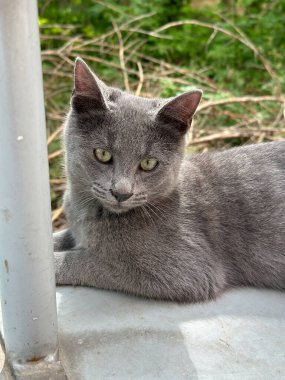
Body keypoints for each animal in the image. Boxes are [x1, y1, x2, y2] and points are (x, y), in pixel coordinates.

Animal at [53, 58, 284, 302]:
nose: (121, 193)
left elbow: (86, 261)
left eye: (148, 163)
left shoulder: (187, 270)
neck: (85, 212)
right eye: (103, 154)